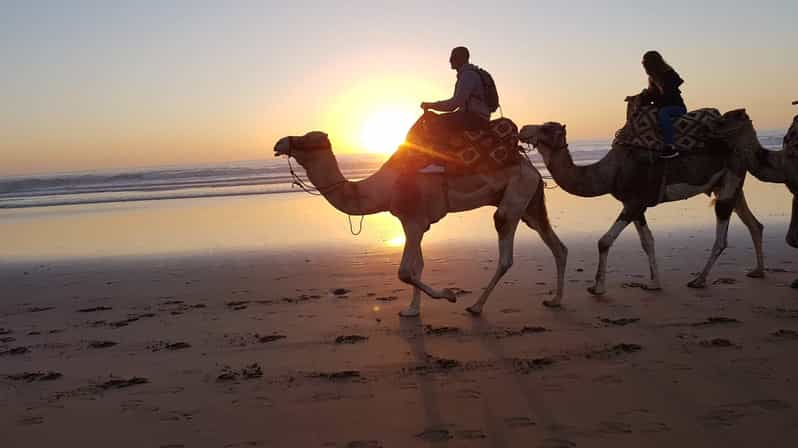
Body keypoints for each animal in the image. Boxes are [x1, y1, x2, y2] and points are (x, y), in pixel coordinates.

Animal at [276, 131, 568, 316]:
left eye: (305, 139)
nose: (279, 143)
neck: (384, 188)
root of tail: (532, 168)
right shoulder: (413, 224)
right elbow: (418, 266)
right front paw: (412, 310)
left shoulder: (414, 221)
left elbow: (405, 272)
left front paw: (449, 294)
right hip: (531, 203)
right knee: (557, 246)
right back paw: (554, 300)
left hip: (515, 196)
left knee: (506, 248)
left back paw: (475, 306)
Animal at [520, 108, 768, 296]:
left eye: (545, 127)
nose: (523, 129)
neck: (611, 171)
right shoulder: (636, 206)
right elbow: (647, 241)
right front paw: (654, 283)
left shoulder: (634, 203)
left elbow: (604, 241)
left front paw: (597, 288)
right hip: (729, 183)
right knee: (754, 223)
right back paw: (758, 271)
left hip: (730, 178)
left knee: (722, 236)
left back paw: (698, 280)